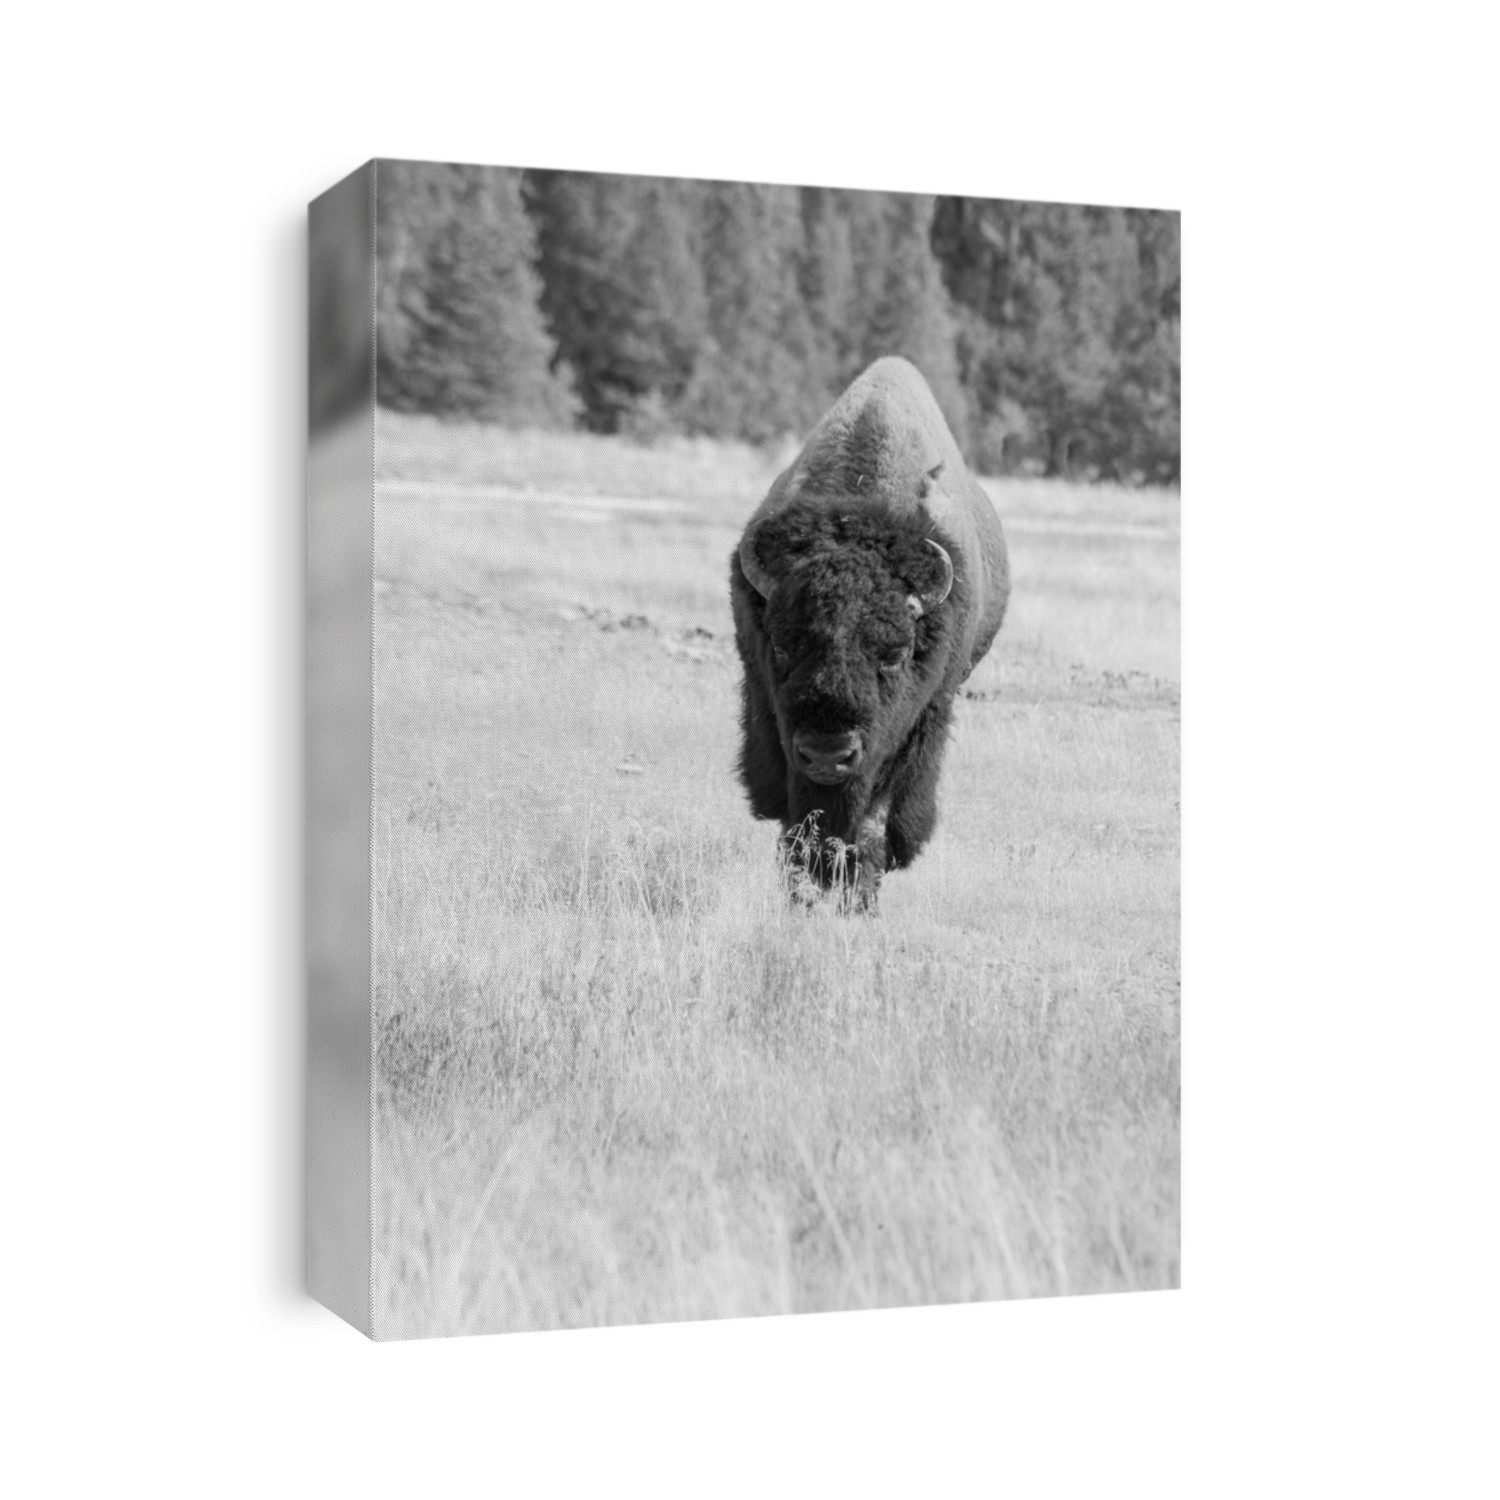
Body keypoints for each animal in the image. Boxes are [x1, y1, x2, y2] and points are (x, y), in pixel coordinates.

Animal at [730, 357, 1010, 908]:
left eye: (894, 655)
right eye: (781, 646)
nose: (828, 754)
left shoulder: (917, 722)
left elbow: (874, 817)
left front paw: (858, 898)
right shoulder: (770, 713)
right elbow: (795, 816)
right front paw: (803, 891)